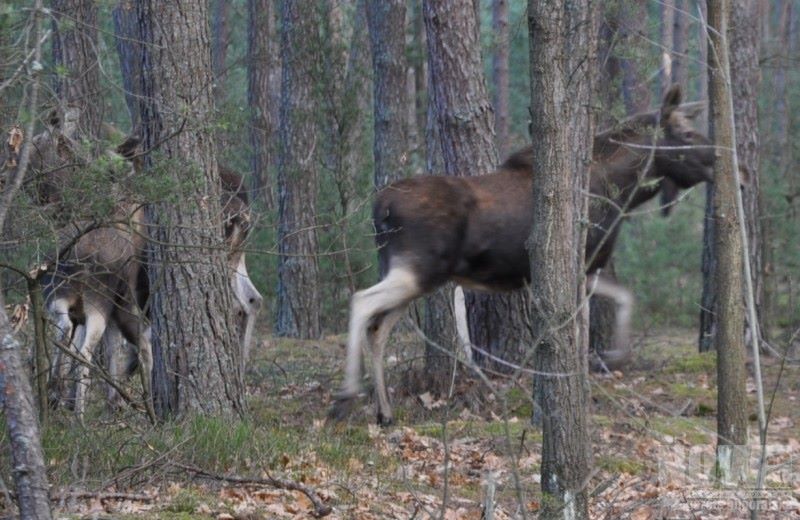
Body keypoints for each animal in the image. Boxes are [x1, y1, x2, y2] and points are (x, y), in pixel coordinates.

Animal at [28, 108, 262, 418]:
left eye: (34, 144)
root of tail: (243, 209)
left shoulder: (120, 289)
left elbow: (107, 341)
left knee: (235, 306)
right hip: (236, 258)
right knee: (252, 300)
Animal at [328, 86, 716, 426]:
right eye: (684, 132)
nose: (718, 158)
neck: (621, 193)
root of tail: (381, 208)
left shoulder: (581, 270)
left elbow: (623, 298)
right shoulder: (584, 265)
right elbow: (597, 317)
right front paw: (604, 362)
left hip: (413, 276)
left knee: (378, 328)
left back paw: (384, 412)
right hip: (417, 270)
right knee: (361, 301)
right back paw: (346, 396)